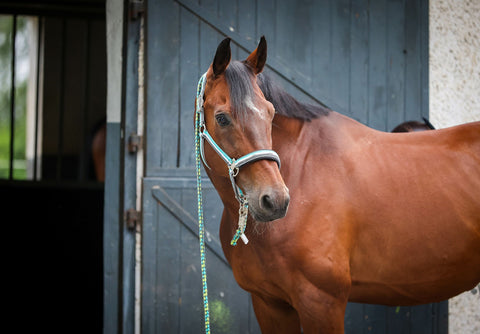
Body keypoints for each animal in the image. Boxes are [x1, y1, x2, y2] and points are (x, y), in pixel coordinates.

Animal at [195, 36, 480, 332]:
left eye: (271, 114)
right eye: (222, 118)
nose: (275, 200)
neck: (303, 169)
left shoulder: (322, 303)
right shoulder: (269, 304)